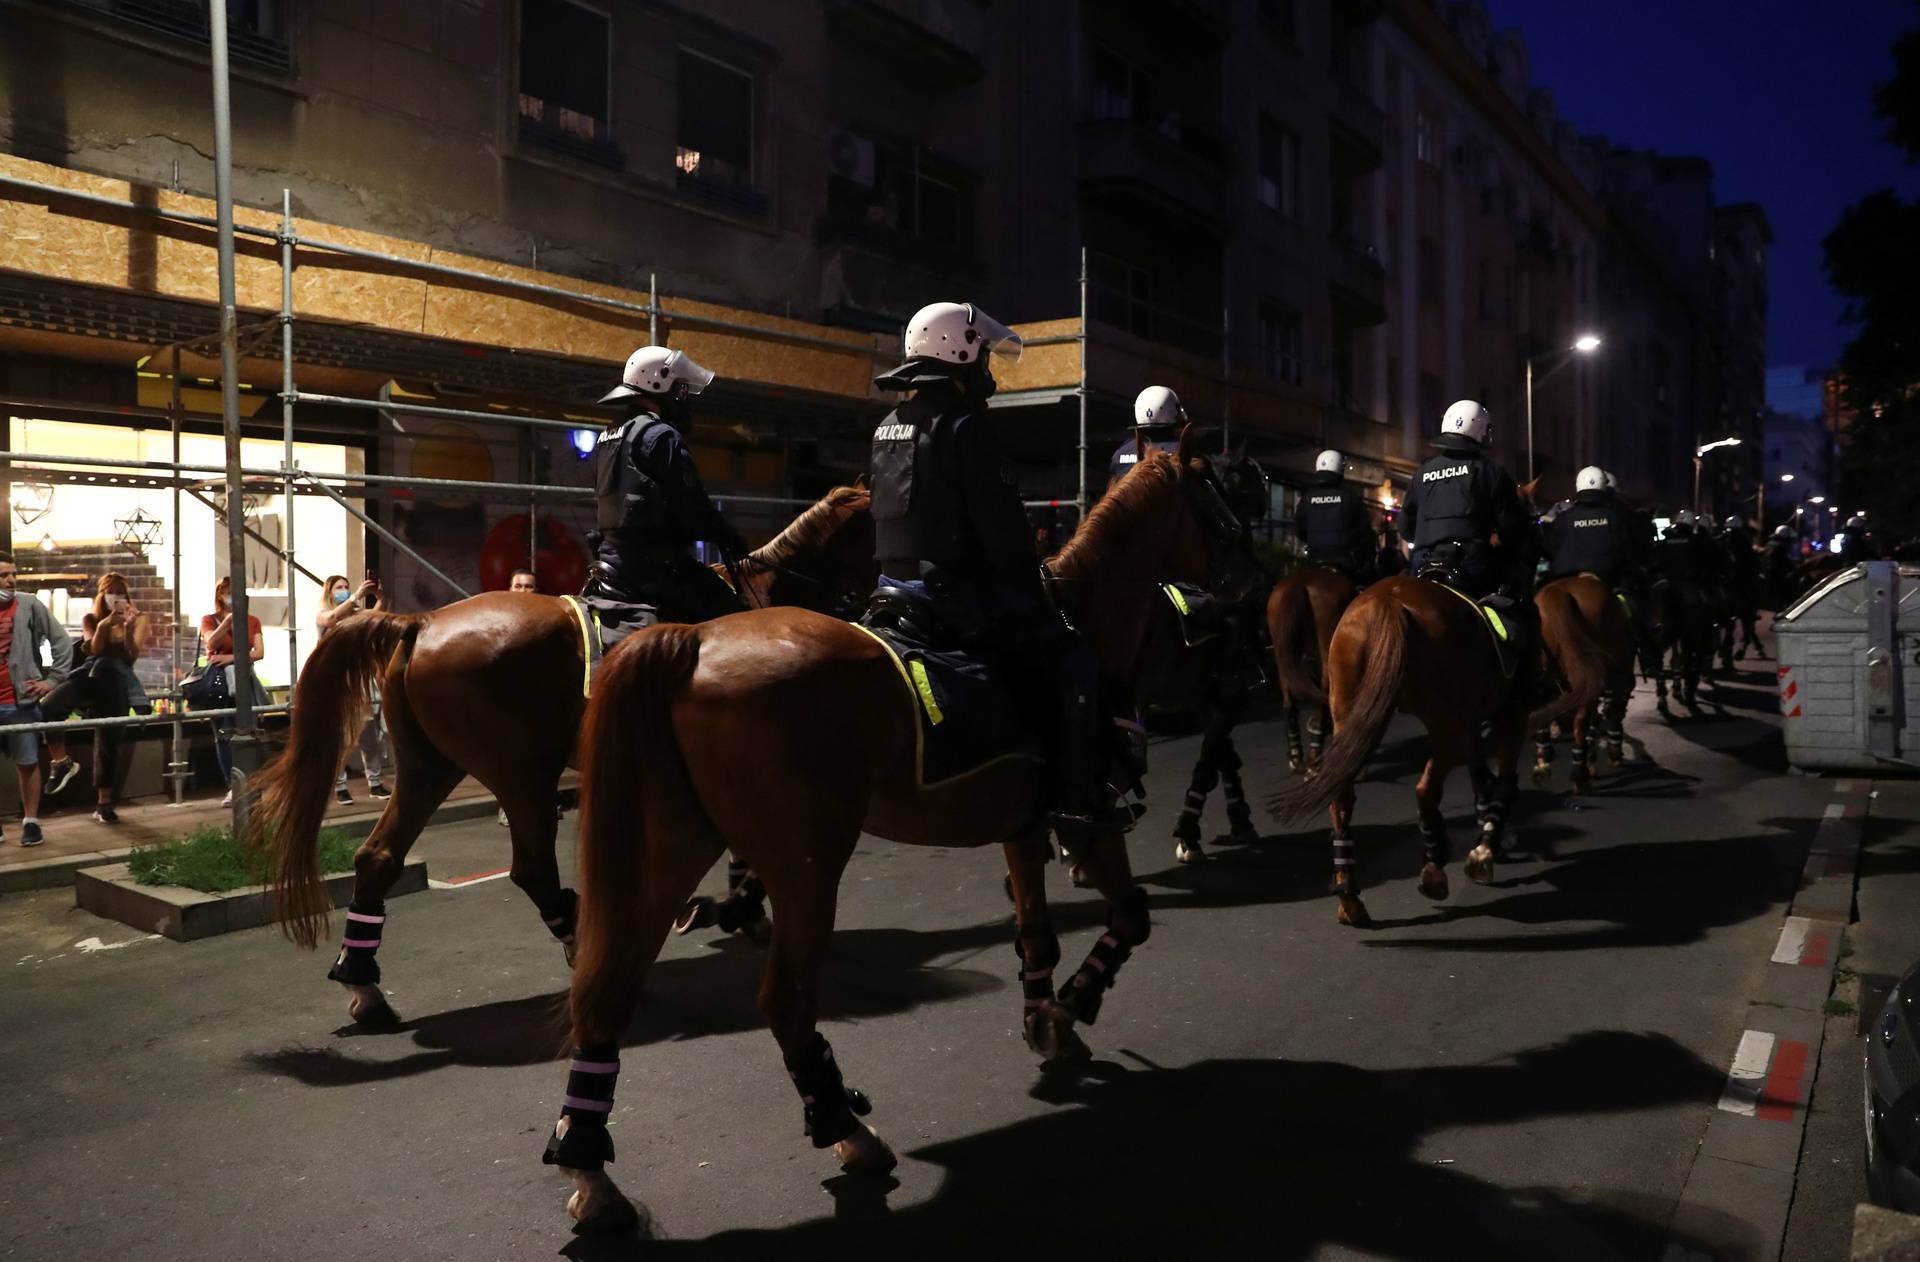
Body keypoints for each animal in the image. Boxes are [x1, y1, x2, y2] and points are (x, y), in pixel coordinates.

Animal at [251, 484, 875, 1021]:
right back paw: (584, 947)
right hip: (521, 774)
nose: (876, 604)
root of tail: (420, 623)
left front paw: (740, 912)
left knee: (378, 857)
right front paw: (738, 910)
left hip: (432, 767)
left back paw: (364, 984)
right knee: (532, 871)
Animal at [545, 436, 1259, 1229]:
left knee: (608, 993)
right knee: (785, 1001)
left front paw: (1045, 1015)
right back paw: (845, 1129)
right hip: (808, 868)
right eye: (1216, 491)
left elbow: (1036, 936)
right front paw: (1070, 1008)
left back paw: (591, 1170)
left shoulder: (1022, 830)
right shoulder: (1093, 824)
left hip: (669, 851)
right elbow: (1131, 919)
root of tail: (692, 643)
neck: (1087, 620)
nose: (1251, 576)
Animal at [1259, 564, 1367, 772]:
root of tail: (1301, 583)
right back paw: (1315, 754)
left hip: (1283, 651)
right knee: (1326, 689)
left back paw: (1297, 756)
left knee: (1289, 696)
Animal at [1520, 576, 1628, 791]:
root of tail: (1558, 592)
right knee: (1581, 719)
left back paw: (1543, 763)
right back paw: (1580, 774)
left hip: (1544, 671)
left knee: (1544, 707)